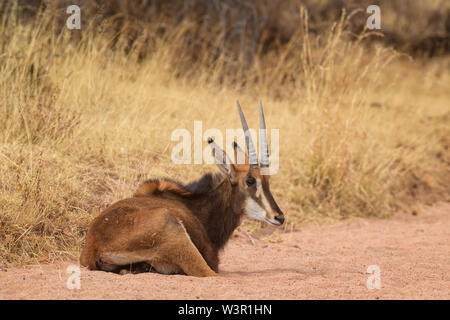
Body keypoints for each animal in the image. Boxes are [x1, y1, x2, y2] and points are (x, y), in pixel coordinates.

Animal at [80, 101, 284, 276]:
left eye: (268, 180)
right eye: (250, 181)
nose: (279, 217)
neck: (199, 208)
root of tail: (94, 247)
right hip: (176, 233)